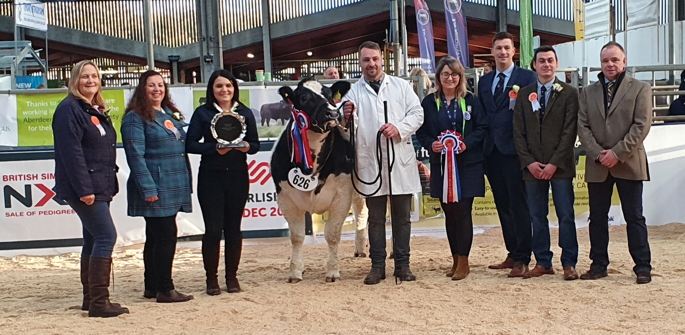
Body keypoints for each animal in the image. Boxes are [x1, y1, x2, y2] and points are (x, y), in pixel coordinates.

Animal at [270, 79, 368, 284]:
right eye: (304, 98)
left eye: (330, 96)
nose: (333, 113)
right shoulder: (285, 198)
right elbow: (297, 237)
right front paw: (295, 272)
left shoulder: (341, 195)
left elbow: (332, 234)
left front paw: (332, 271)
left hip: (359, 191)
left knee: (362, 214)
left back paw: (362, 248)